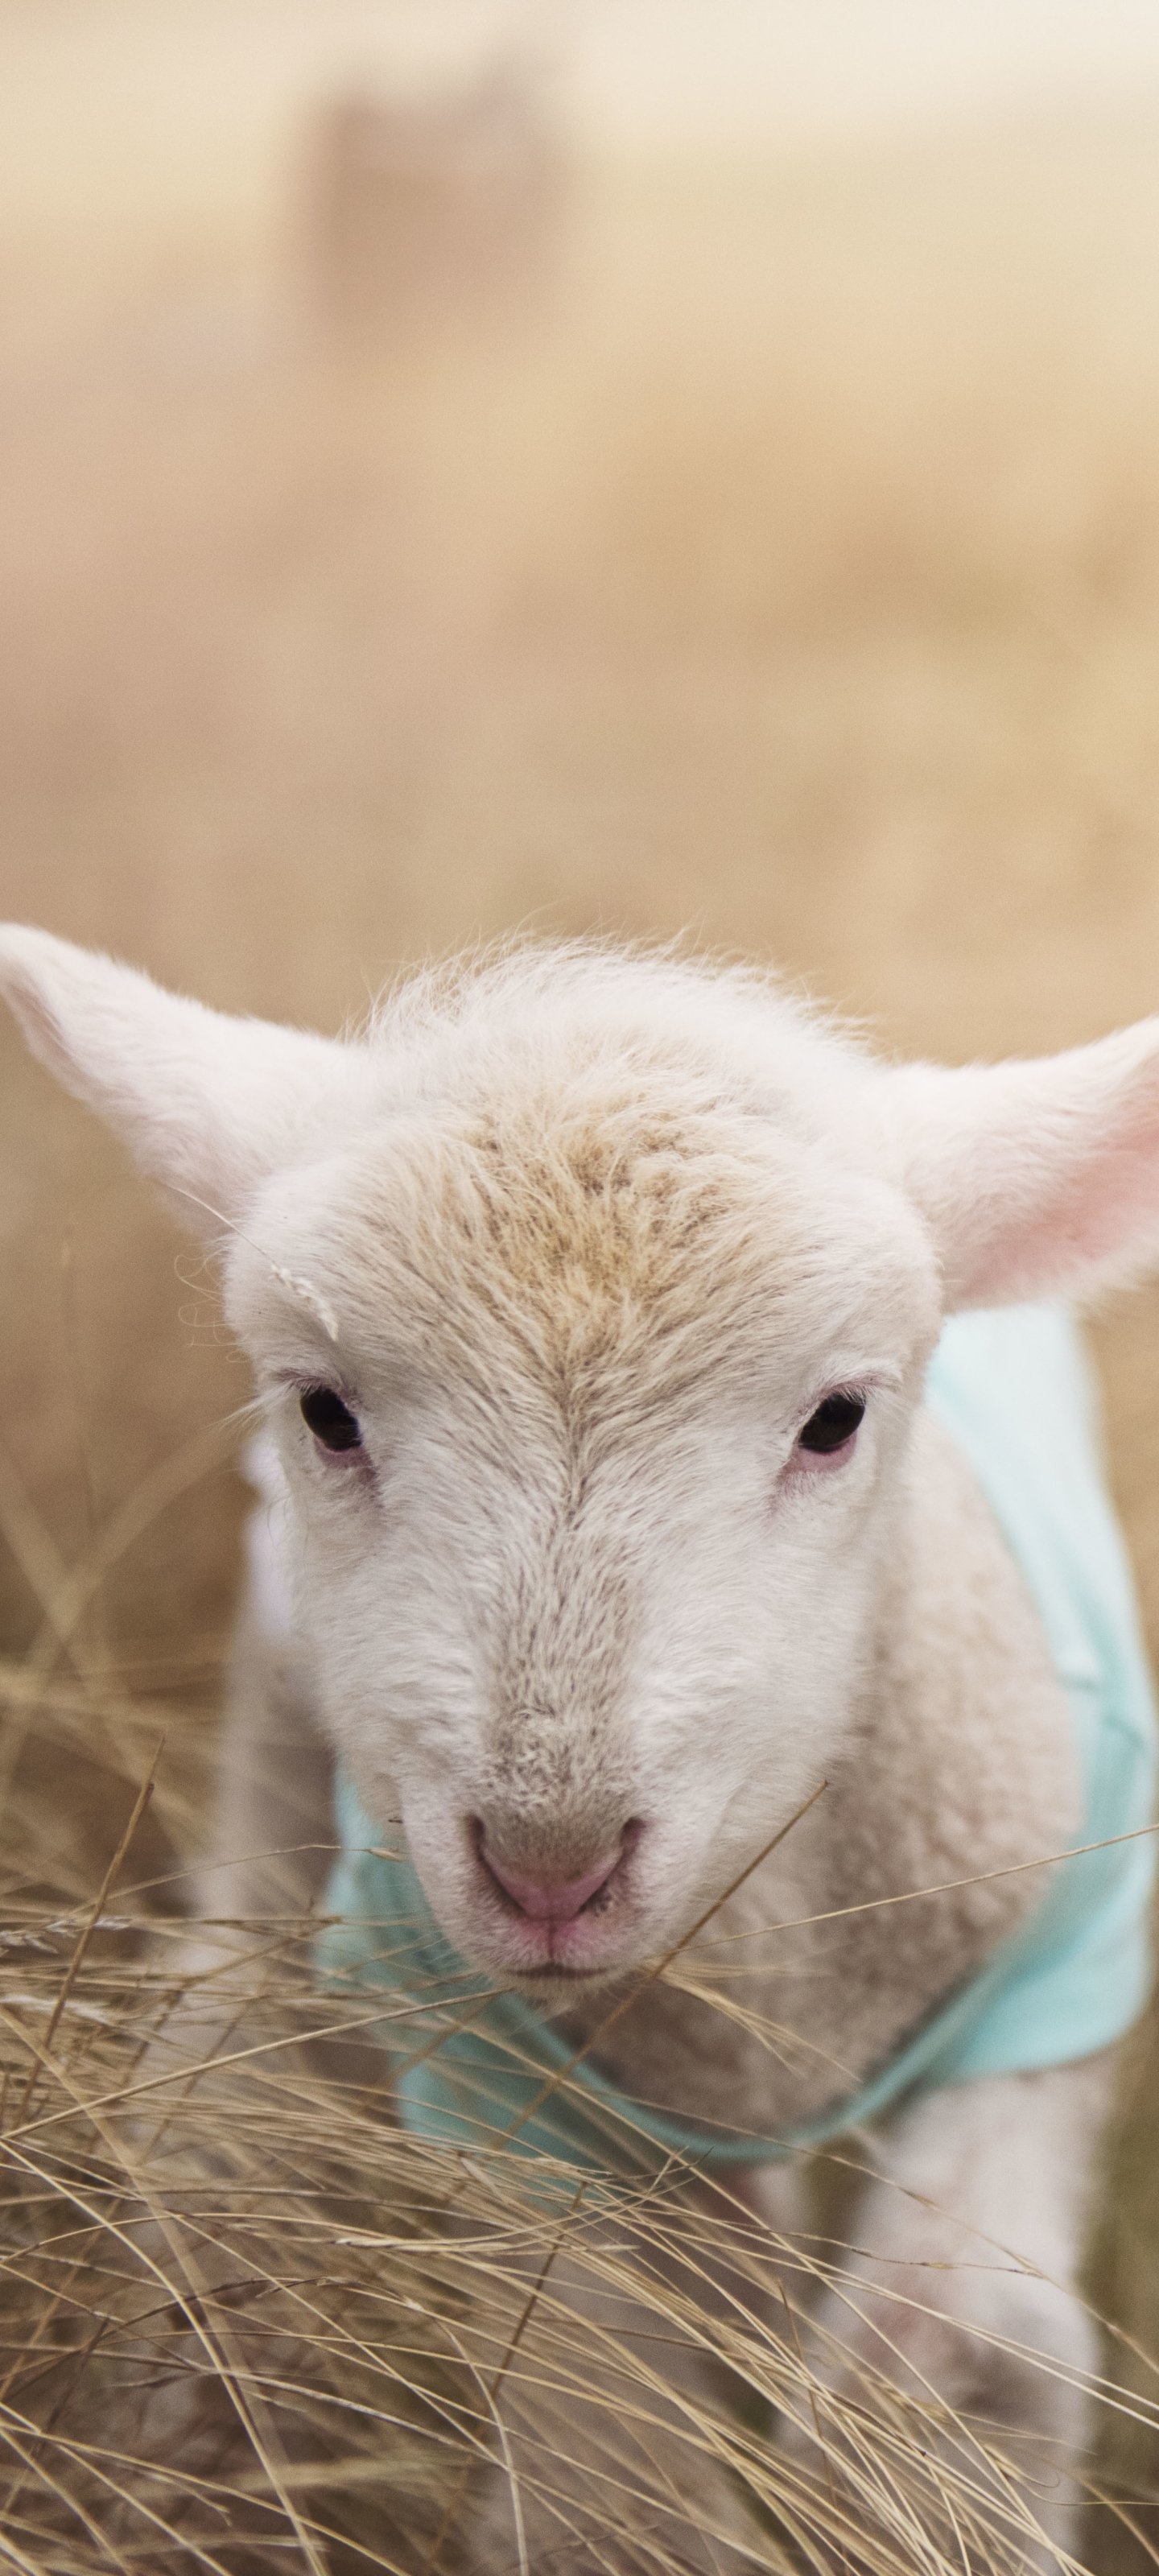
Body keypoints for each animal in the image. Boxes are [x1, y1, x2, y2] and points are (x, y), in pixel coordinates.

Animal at [1, 922, 1156, 2572]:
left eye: (835, 1418)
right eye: (326, 1411)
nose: (551, 1861)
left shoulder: (1051, 1989)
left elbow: (963, 2365)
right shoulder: (504, 2083)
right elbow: (606, 2457)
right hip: (280, 1757)